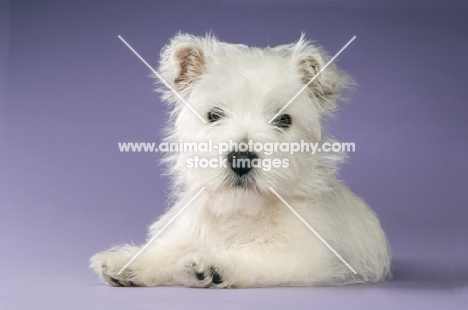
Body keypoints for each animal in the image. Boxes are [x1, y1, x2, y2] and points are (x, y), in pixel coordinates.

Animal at [90, 32, 392, 286]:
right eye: (214, 115)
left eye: (283, 119)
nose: (241, 159)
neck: (241, 210)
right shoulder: (188, 230)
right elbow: (169, 248)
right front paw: (130, 262)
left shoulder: (307, 255)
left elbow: (256, 255)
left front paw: (214, 264)